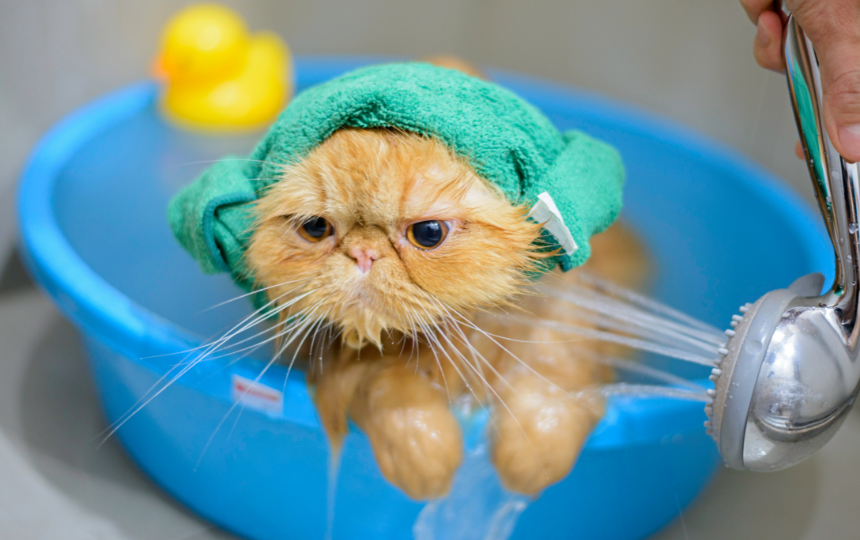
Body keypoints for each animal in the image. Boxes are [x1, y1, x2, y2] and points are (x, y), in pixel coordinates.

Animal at [245, 122, 648, 498]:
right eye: (316, 227)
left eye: (428, 233)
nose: (363, 253)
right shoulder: (340, 362)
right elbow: (389, 389)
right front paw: (424, 452)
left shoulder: (560, 323)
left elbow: (553, 379)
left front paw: (534, 451)